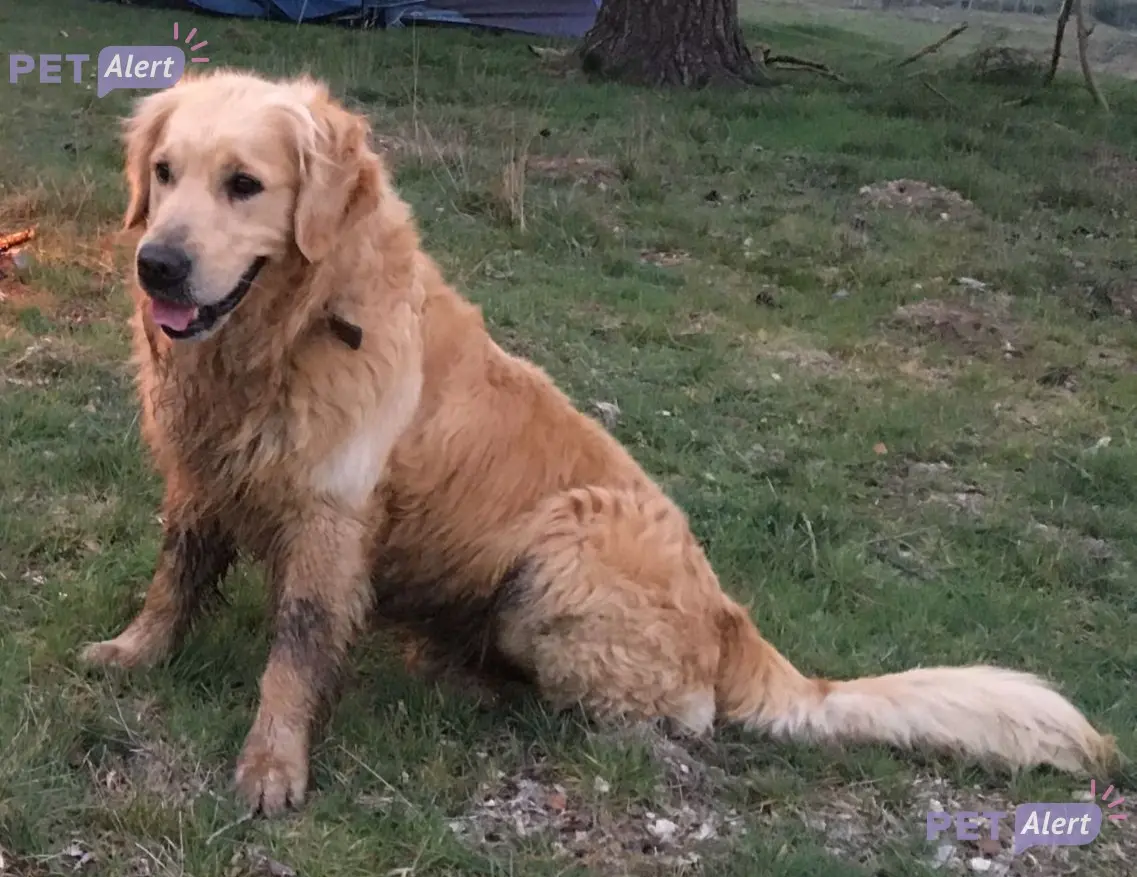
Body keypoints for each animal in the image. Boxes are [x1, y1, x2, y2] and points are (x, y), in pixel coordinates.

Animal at [82, 68, 1118, 814]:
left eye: (244, 185)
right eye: (165, 174)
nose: (156, 264)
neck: (287, 332)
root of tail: (733, 622)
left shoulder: (328, 519)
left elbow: (294, 651)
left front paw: (272, 764)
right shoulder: (201, 476)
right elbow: (177, 572)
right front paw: (136, 651)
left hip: (564, 549)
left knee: (679, 713)